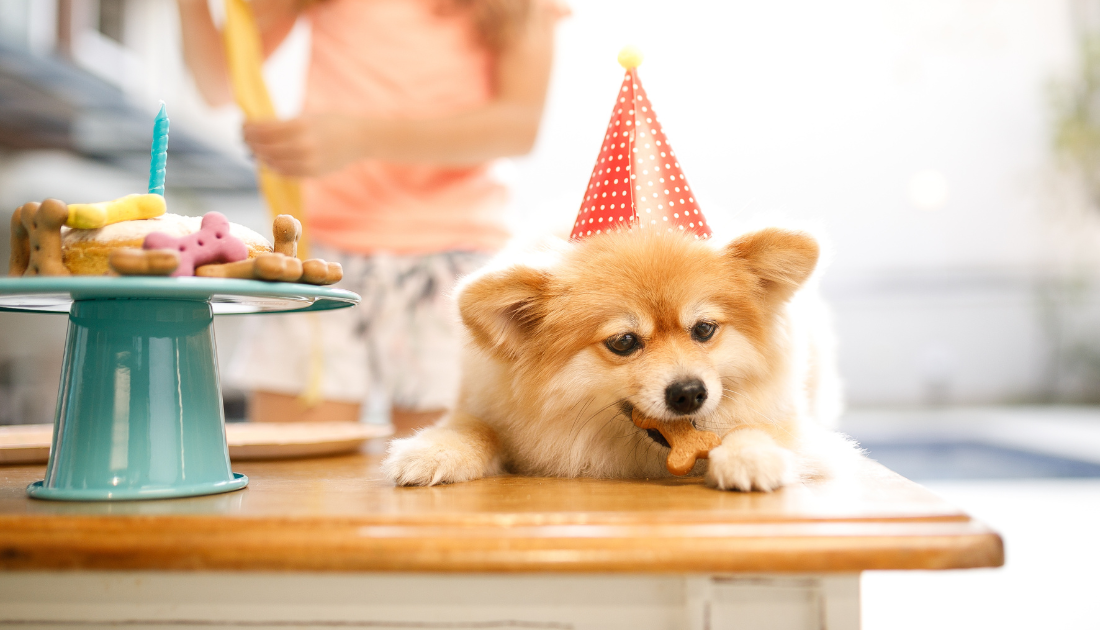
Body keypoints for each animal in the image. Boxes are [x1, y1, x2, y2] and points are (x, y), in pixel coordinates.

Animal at [382, 227, 853, 490]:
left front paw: (749, 456)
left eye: (703, 330)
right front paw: (433, 451)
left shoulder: (792, 424)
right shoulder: (487, 406)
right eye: (624, 342)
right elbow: (472, 429)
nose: (689, 393)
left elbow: (759, 429)